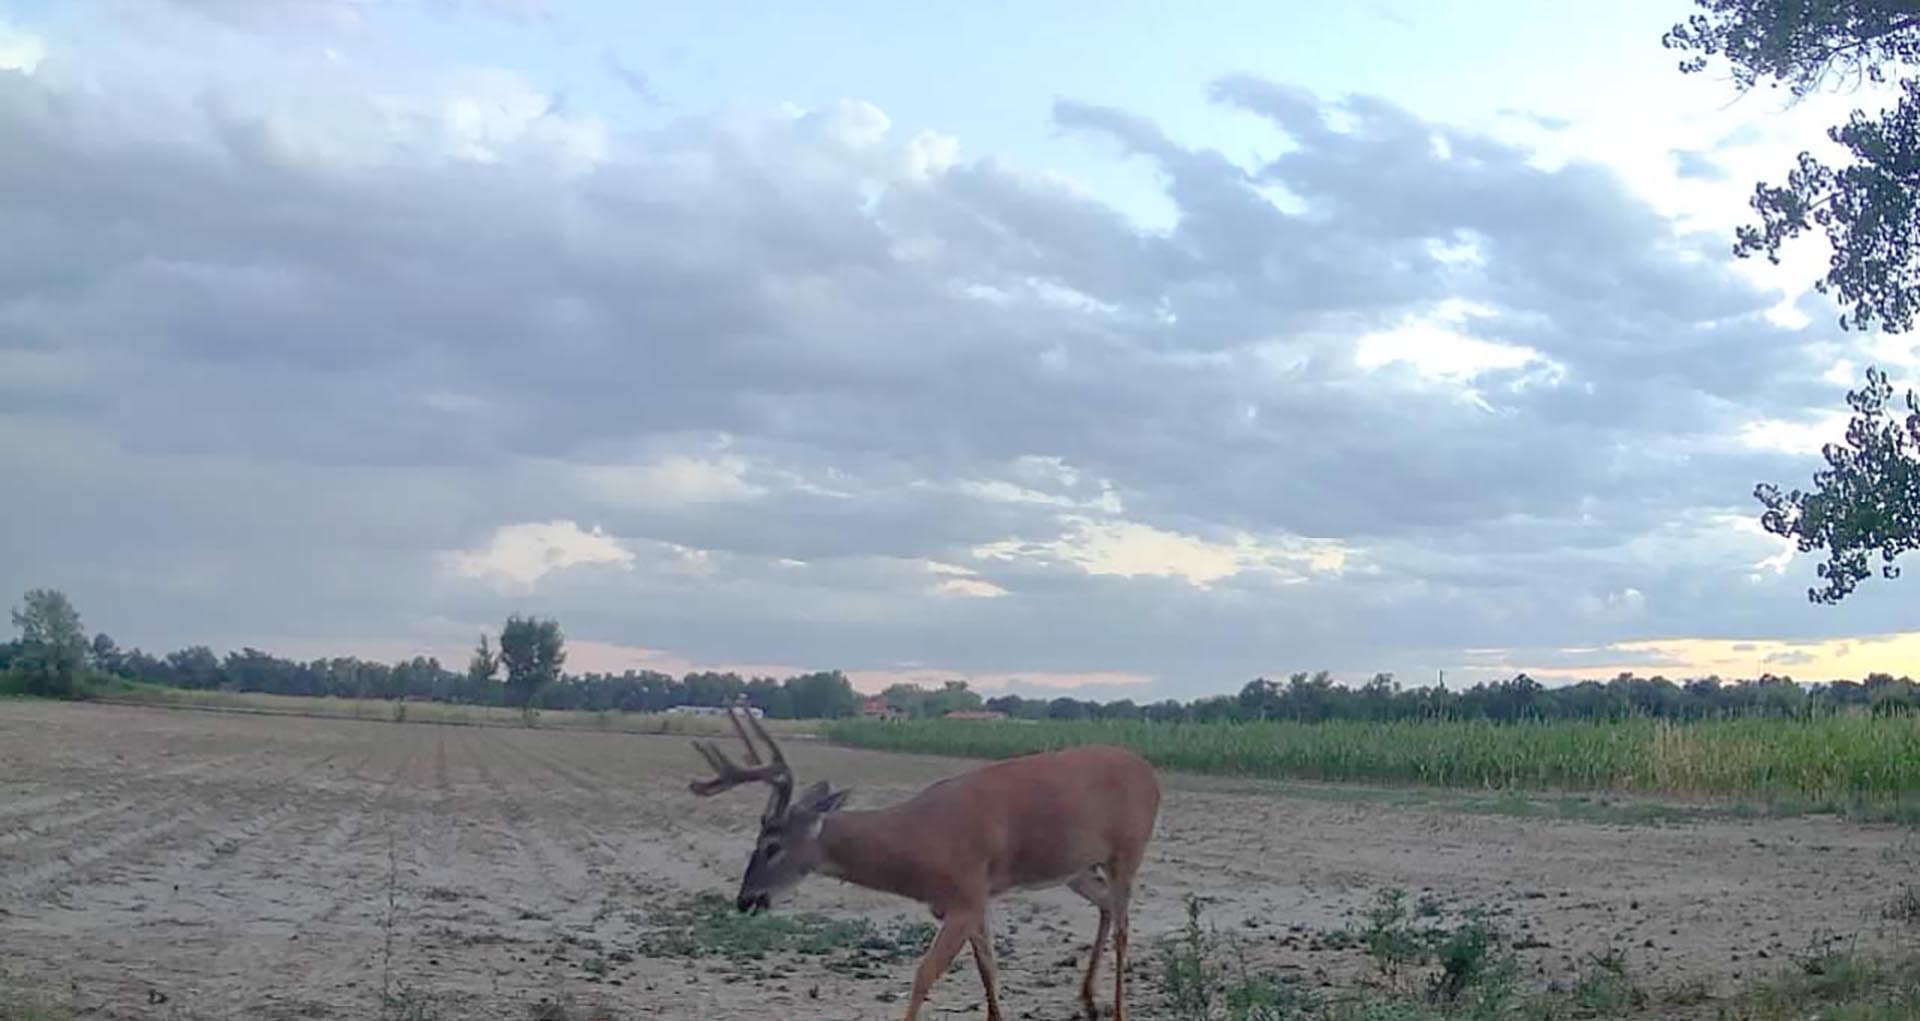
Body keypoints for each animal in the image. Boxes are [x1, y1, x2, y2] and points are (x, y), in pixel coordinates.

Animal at [688, 703, 1161, 1021]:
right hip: (1076, 868)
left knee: (1124, 924)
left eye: (771, 845)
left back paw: (1117, 1010)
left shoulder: (966, 895)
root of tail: (1150, 772)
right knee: (1106, 907)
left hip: (1128, 850)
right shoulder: (970, 900)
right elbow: (988, 970)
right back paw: (1088, 999)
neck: (919, 845)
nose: (745, 898)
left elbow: (923, 976)